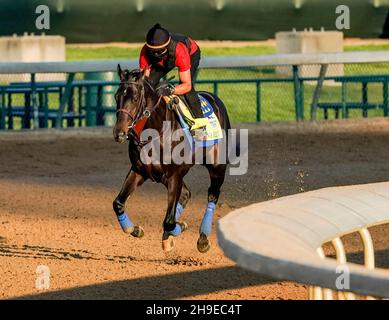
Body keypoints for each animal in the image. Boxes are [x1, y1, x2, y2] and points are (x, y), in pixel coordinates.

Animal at [110, 66, 229, 254]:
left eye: (135, 98)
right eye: (116, 97)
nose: (119, 133)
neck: (156, 132)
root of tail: (213, 98)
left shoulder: (174, 176)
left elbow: (169, 222)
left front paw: (178, 229)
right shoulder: (139, 171)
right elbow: (118, 204)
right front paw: (135, 229)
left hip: (217, 165)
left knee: (212, 194)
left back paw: (203, 238)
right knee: (186, 194)